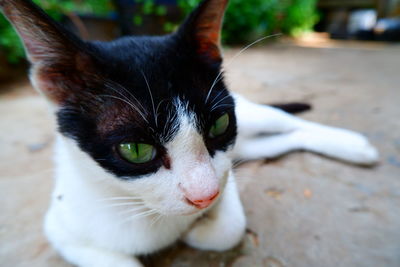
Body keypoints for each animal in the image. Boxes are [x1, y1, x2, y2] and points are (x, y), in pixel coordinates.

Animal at [0, 0, 378, 267]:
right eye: (135, 149)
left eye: (219, 124)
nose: (204, 198)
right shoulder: (62, 229)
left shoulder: (224, 171)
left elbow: (231, 227)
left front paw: (198, 231)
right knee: (280, 141)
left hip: (252, 119)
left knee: (287, 121)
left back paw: (354, 145)